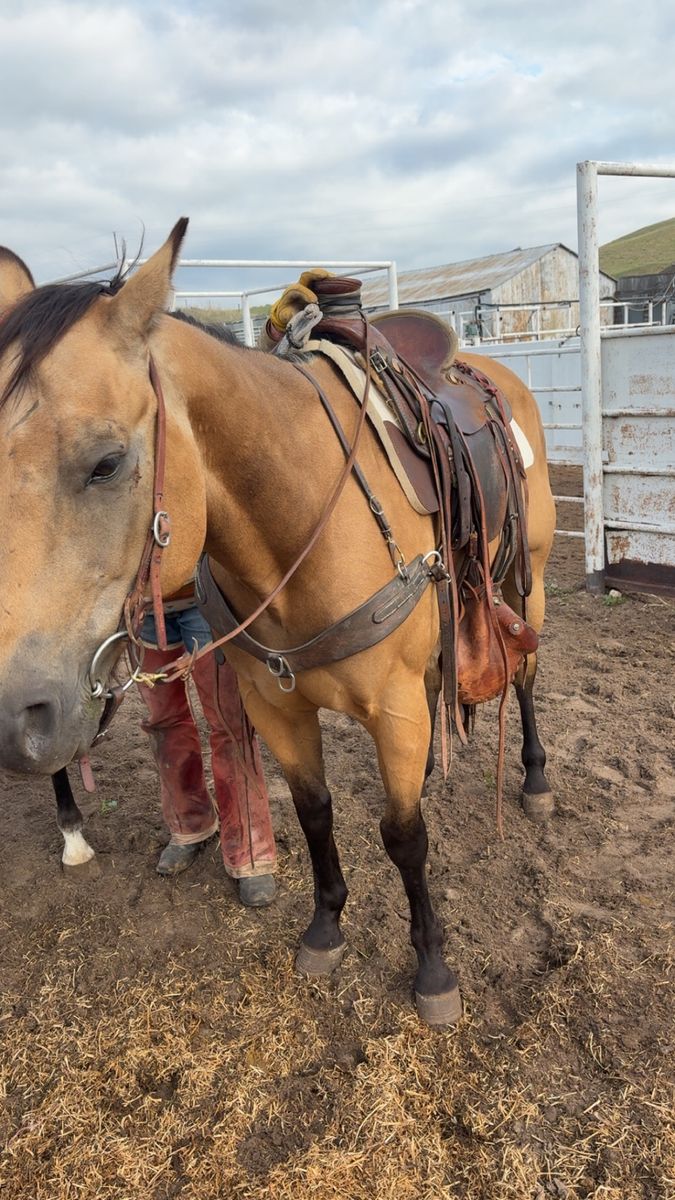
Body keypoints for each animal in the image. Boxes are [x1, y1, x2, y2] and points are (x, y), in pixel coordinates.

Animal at [0, 220, 556, 1024]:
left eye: (106, 462)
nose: (18, 719)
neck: (298, 522)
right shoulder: (275, 706)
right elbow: (315, 812)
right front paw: (324, 929)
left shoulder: (389, 705)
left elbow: (404, 836)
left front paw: (432, 969)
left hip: (527, 572)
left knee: (527, 673)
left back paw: (536, 779)